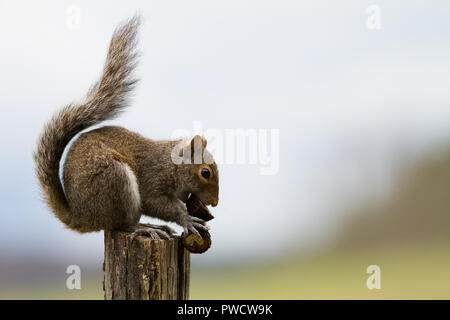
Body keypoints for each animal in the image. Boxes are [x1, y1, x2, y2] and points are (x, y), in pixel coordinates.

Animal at [33, 15, 220, 240]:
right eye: (205, 172)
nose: (214, 202)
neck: (171, 164)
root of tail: (83, 218)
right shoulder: (152, 178)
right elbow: (155, 203)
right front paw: (187, 219)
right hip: (115, 183)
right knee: (120, 225)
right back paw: (146, 229)